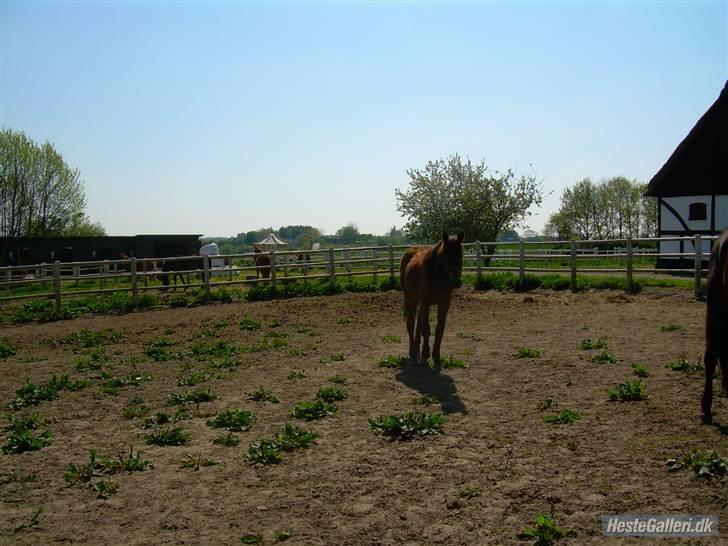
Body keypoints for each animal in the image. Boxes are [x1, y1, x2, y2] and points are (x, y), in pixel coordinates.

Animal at [400, 232, 464, 368]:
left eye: (461, 254)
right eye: (446, 255)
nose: (456, 283)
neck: (437, 276)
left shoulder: (444, 304)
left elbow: (439, 329)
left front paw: (436, 357)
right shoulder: (426, 302)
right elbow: (426, 329)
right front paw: (425, 354)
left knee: (418, 324)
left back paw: (417, 350)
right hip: (410, 297)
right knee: (411, 323)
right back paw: (413, 352)